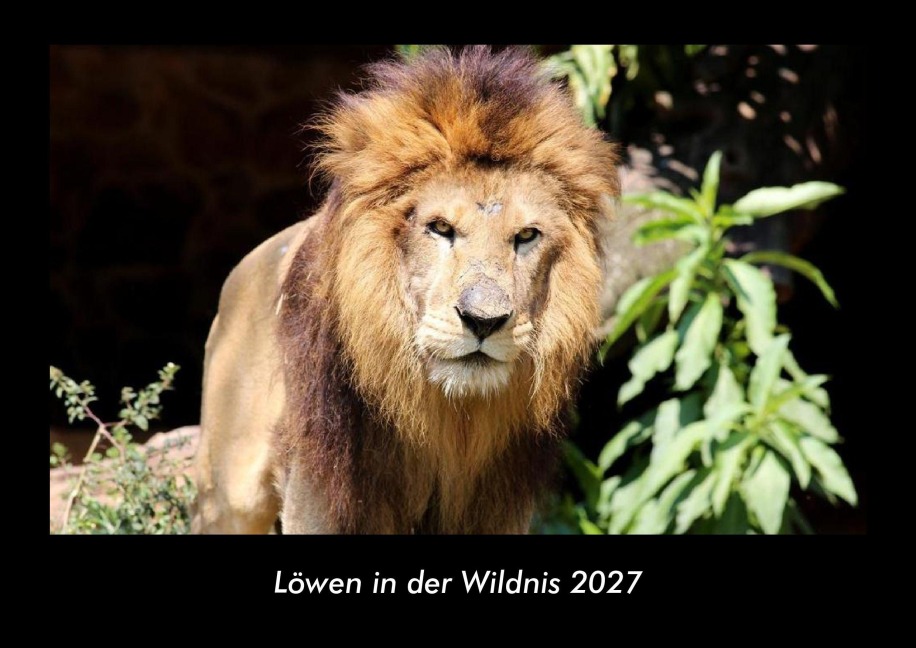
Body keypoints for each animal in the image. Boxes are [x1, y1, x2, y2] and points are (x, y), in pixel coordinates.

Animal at [191, 46, 620, 534]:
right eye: (440, 228)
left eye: (527, 235)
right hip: (228, 497)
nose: (484, 321)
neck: (446, 420)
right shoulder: (318, 496)